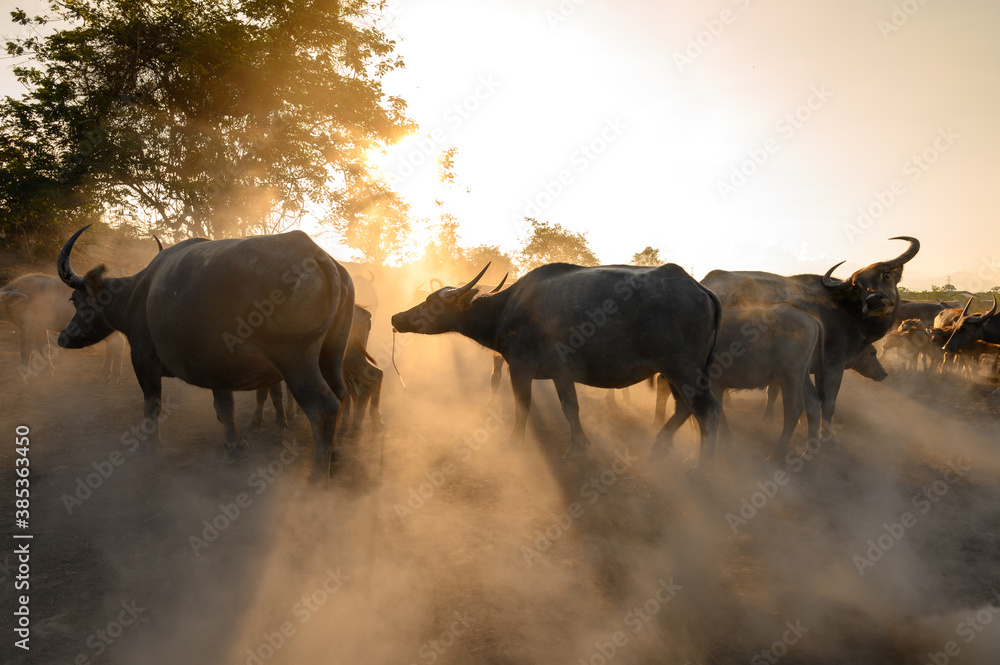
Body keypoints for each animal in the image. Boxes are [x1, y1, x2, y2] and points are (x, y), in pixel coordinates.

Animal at [55, 226, 356, 480]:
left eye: (75, 299)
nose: (62, 337)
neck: (139, 294)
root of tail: (314, 253)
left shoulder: (143, 360)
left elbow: (152, 406)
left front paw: (151, 447)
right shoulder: (218, 370)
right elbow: (225, 410)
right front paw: (236, 445)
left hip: (295, 362)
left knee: (323, 407)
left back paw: (317, 478)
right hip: (332, 354)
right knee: (341, 393)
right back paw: (336, 453)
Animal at [386, 262, 724, 464]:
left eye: (432, 303)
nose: (396, 318)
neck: (507, 307)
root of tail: (699, 288)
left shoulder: (520, 368)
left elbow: (523, 406)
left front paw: (514, 442)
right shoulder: (562, 374)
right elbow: (570, 408)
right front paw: (579, 445)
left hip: (683, 370)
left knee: (707, 410)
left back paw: (700, 464)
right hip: (675, 373)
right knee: (685, 409)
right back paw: (660, 449)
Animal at [700, 233, 916, 436]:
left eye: (885, 275)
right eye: (858, 286)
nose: (874, 300)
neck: (848, 311)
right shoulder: (832, 364)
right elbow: (827, 401)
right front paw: (826, 433)